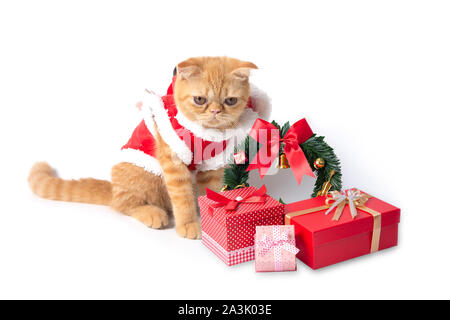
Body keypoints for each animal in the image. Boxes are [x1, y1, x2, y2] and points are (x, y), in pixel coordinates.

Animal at [29, 57, 270, 238]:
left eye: (230, 100)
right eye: (200, 99)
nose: (215, 111)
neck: (204, 132)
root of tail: (113, 187)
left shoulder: (212, 164)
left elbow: (209, 191)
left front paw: (209, 212)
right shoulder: (173, 162)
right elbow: (182, 198)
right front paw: (189, 223)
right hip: (144, 174)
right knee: (123, 204)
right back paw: (152, 213)